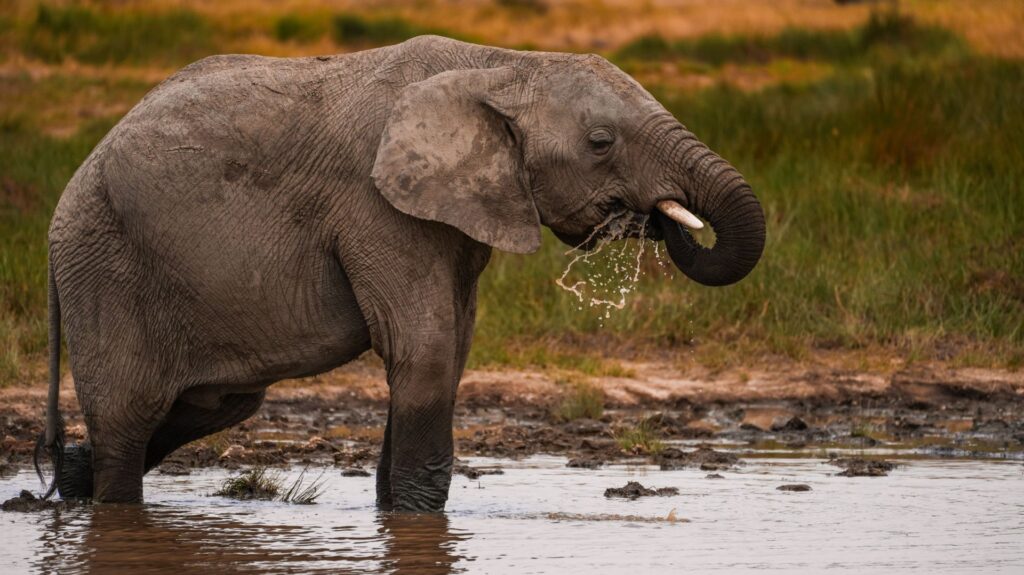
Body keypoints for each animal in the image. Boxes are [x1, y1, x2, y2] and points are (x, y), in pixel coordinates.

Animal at [37, 35, 765, 511]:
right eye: (600, 143)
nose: (658, 216)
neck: (502, 65)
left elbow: (452, 347)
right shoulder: (376, 206)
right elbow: (426, 349)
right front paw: (415, 519)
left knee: (211, 404)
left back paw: (72, 481)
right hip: (104, 269)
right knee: (130, 422)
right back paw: (108, 503)